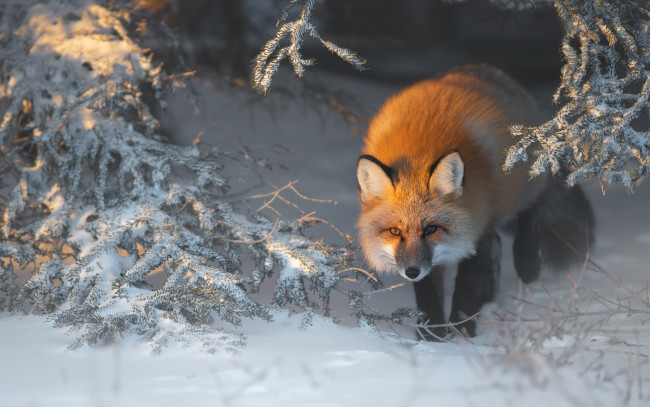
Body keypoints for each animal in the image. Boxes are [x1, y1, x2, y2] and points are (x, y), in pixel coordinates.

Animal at [356, 67, 588, 340]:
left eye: (431, 229)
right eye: (394, 231)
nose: (411, 272)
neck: (419, 150)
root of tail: (485, 70)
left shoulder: (477, 229)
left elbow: (467, 288)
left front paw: (462, 333)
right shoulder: (432, 260)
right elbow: (429, 296)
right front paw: (432, 337)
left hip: (519, 189)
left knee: (530, 212)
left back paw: (528, 264)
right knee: (499, 244)